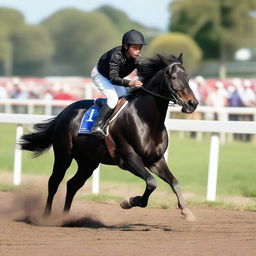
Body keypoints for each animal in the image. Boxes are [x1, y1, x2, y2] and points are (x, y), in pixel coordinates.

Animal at [21, 54, 199, 222]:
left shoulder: (155, 160)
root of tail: (64, 112)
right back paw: (46, 216)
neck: (146, 120)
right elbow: (151, 183)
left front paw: (186, 211)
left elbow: (174, 182)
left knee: (72, 184)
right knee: (54, 182)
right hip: (64, 155)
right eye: (174, 77)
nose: (193, 103)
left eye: (188, 77)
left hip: (88, 162)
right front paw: (128, 202)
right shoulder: (130, 159)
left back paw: (66, 217)